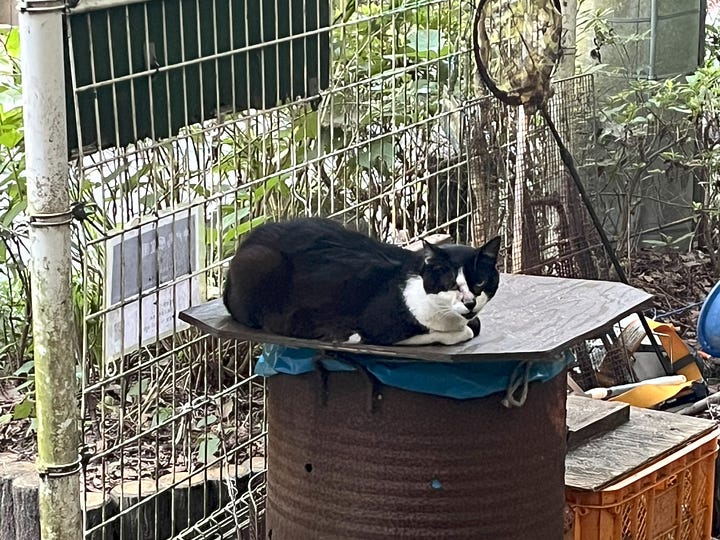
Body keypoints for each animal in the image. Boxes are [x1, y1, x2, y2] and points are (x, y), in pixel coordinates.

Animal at [224, 218, 500, 346]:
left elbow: (474, 324)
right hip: (259, 261)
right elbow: (459, 331)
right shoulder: (379, 327)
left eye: (479, 283)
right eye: (451, 284)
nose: (470, 302)